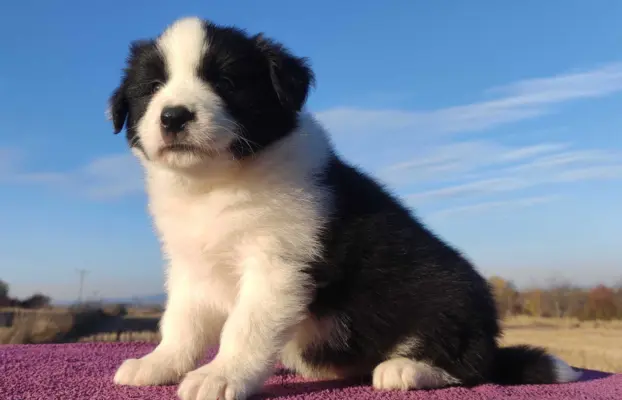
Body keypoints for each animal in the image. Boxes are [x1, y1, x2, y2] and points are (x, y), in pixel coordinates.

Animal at [106, 15, 580, 400]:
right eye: (151, 88)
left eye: (225, 82)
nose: (173, 116)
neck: (215, 183)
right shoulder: (191, 266)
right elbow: (180, 323)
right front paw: (158, 364)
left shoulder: (278, 264)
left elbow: (245, 327)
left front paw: (220, 376)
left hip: (446, 295)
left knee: (471, 365)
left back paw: (406, 369)